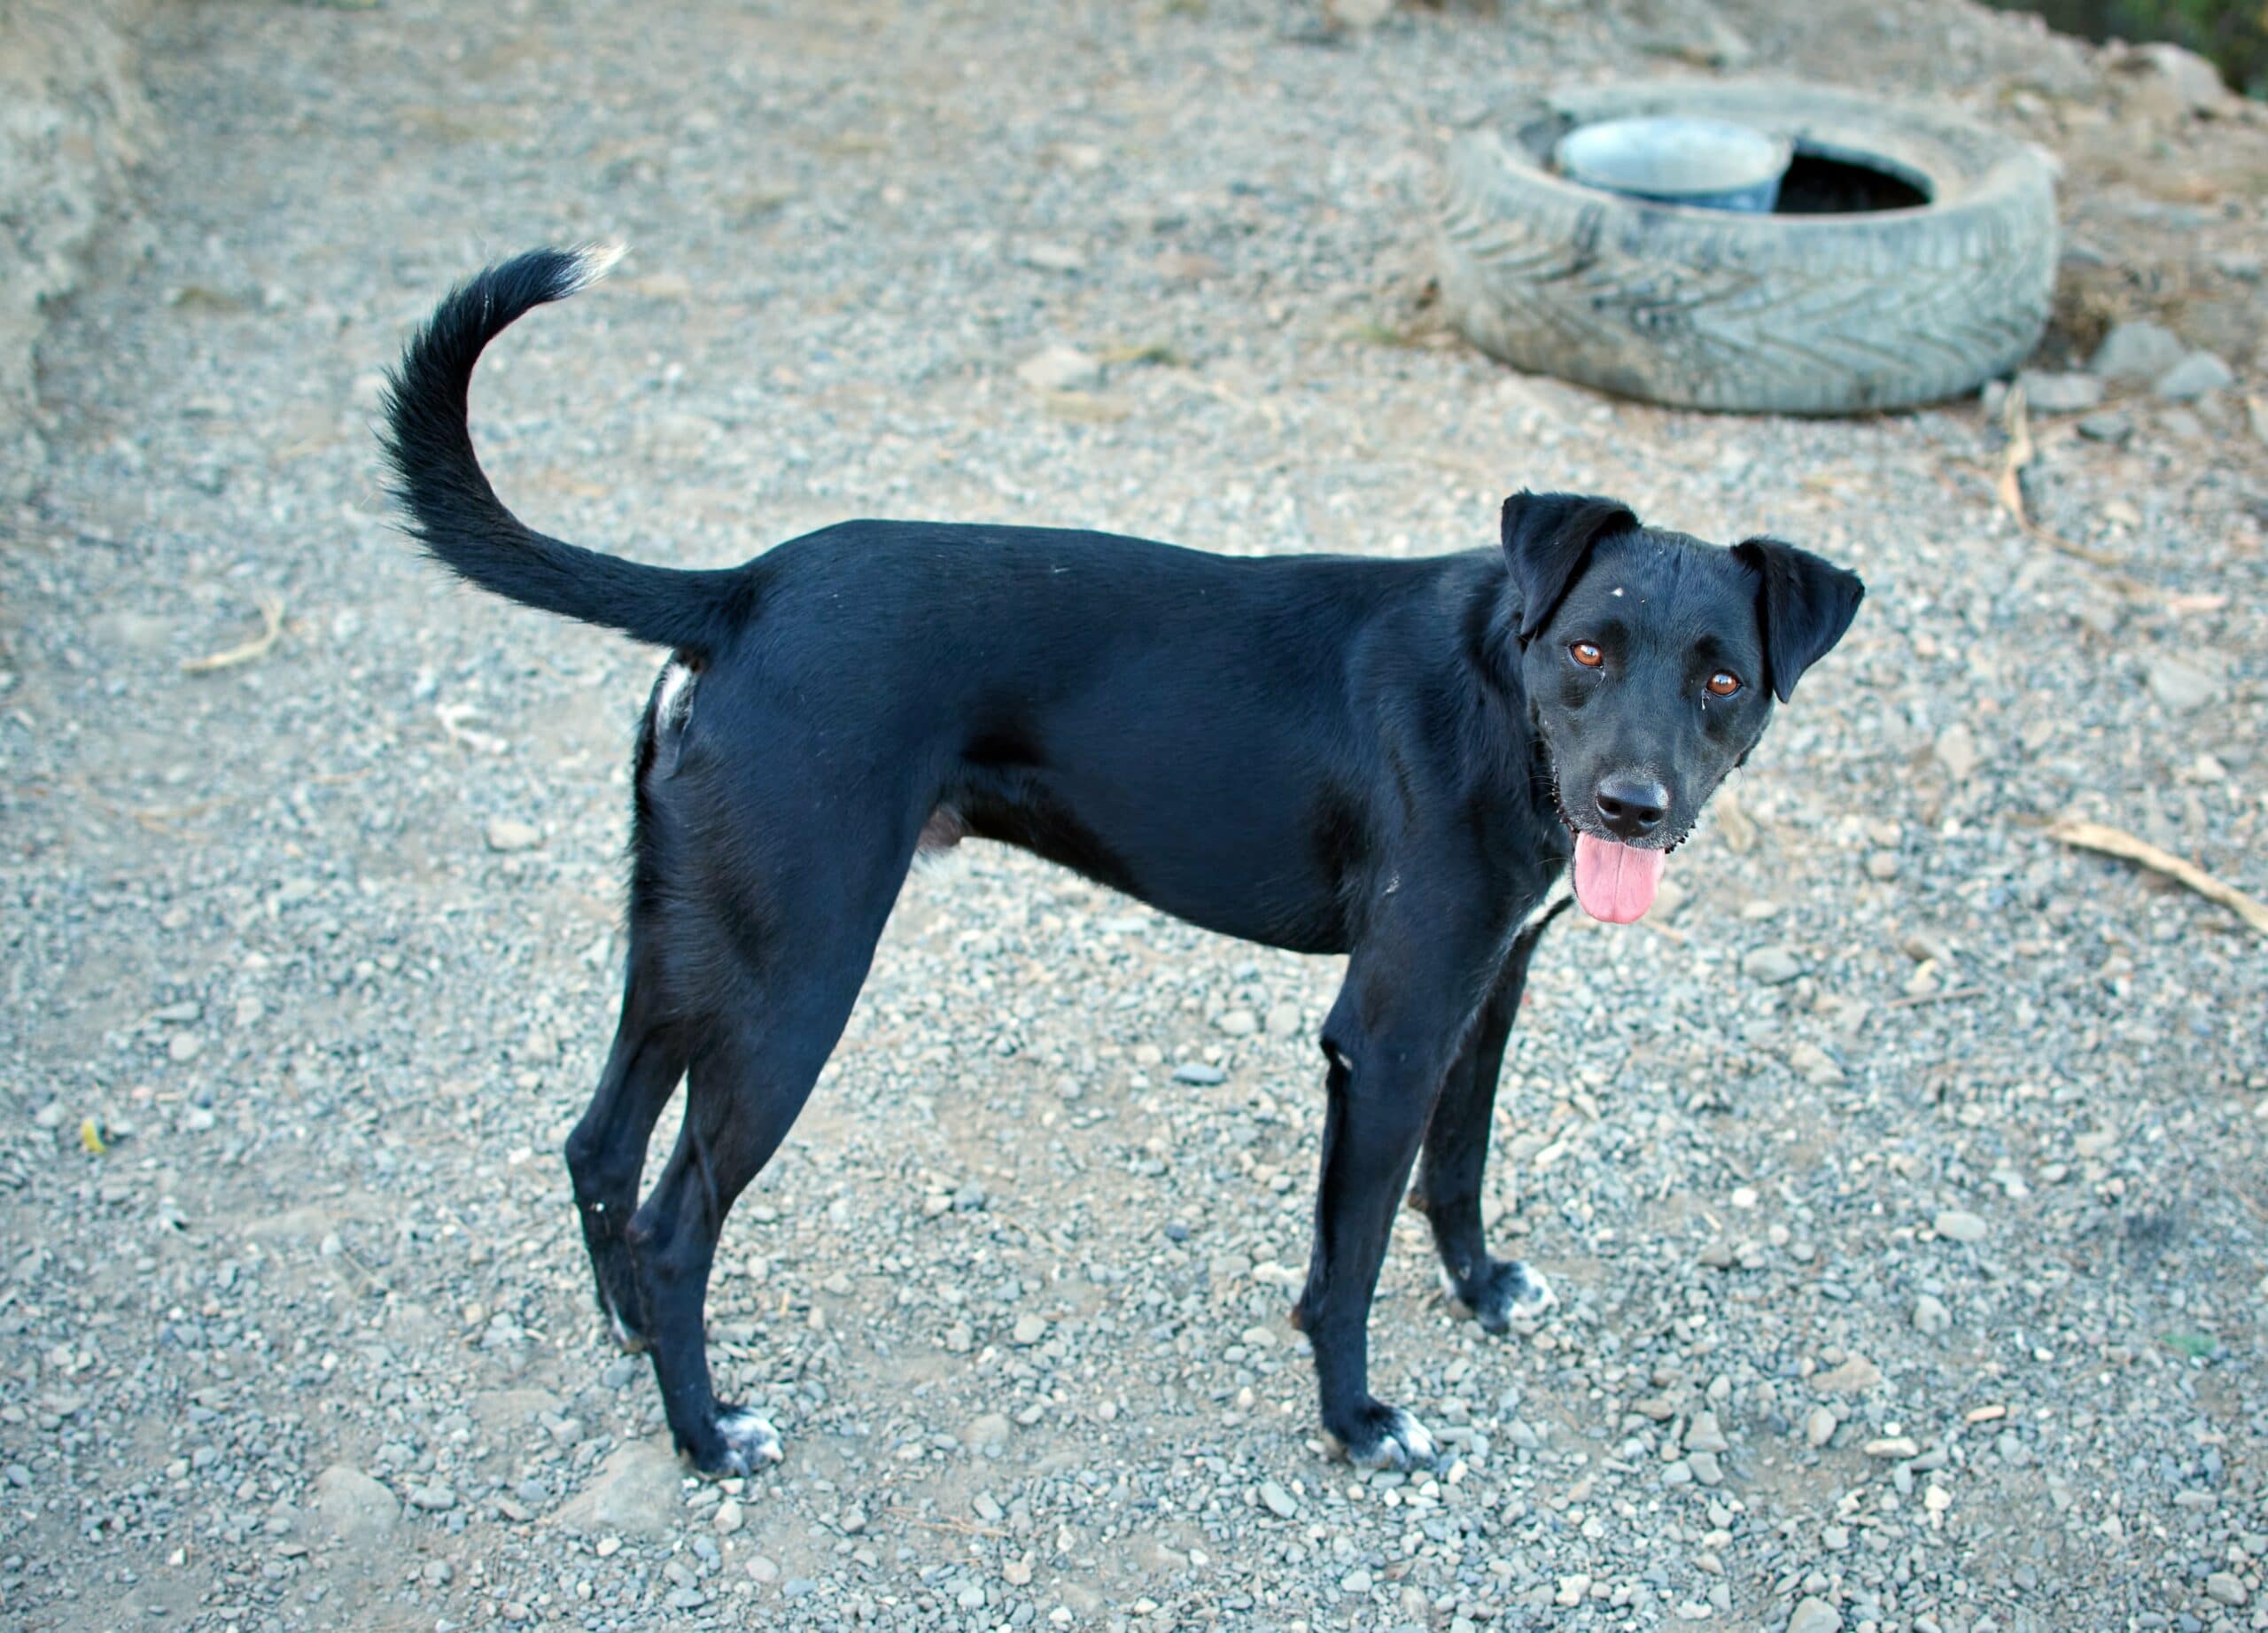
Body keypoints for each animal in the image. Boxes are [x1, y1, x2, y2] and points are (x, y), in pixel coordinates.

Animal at [385, 245, 1860, 1478]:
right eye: (1590, 648)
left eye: (1723, 678)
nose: (1632, 806)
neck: (1500, 686)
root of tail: (741, 589)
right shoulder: (1386, 1031)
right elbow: (1348, 1257)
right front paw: (1358, 1419)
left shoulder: (1488, 989)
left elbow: (1459, 1164)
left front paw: (1482, 1285)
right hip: (792, 980)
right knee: (675, 1218)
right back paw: (704, 1433)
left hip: (690, 940)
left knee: (597, 1145)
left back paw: (633, 1332)